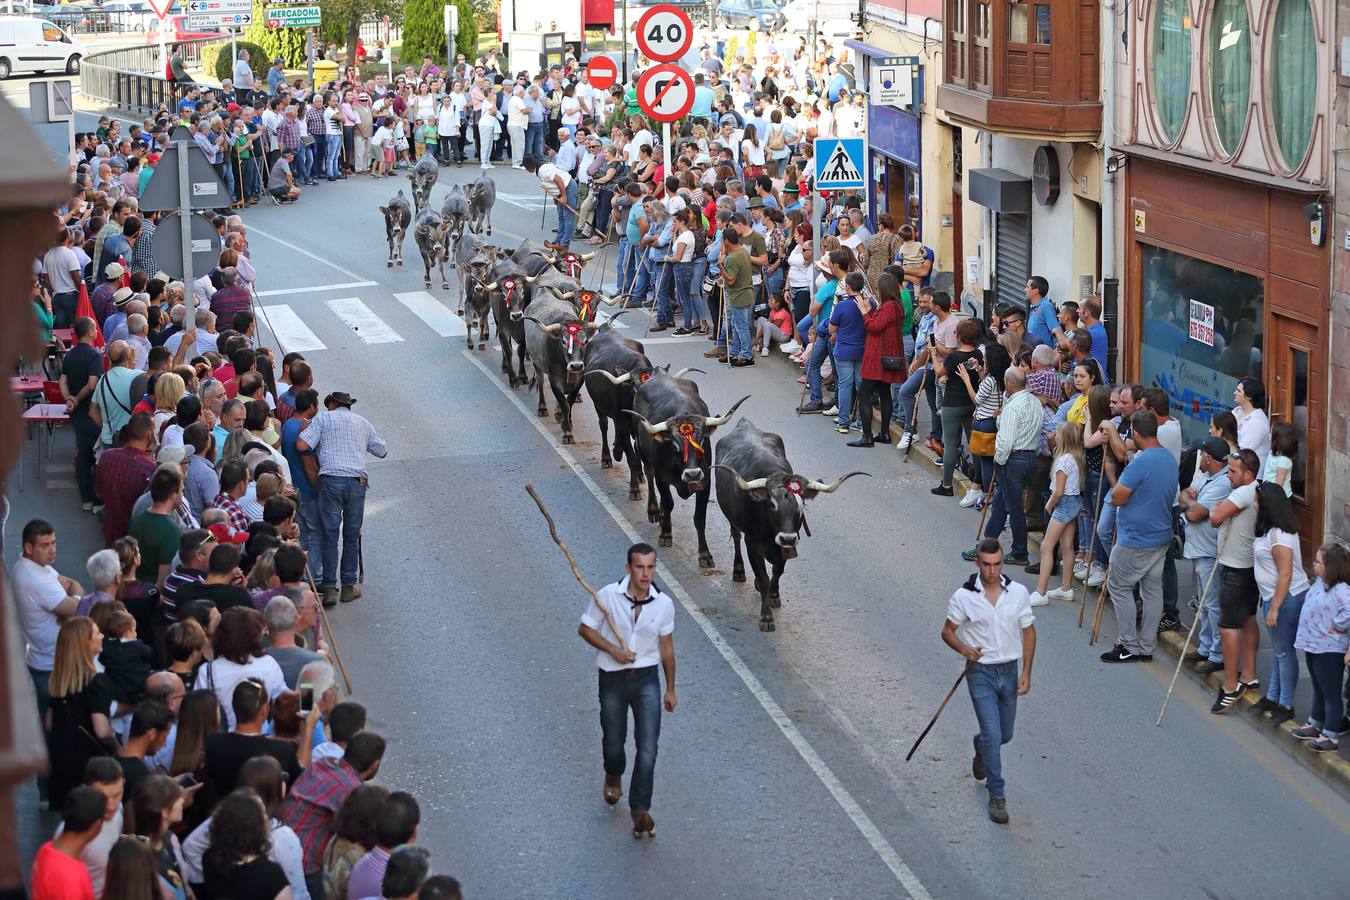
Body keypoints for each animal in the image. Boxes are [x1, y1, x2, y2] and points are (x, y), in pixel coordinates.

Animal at [623, 369, 750, 566]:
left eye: (701, 441)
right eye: (675, 445)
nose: (692, 474)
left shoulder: (705, 481)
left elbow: (699, 518)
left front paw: (705, 554)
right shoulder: (662, 478)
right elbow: (668, 503)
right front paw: (666, 534)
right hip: (643, 452)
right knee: (648, 475)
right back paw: (654, 511)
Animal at [712, 418, 869, 631]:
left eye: (801, 505)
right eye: (771, 504)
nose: (786, 537)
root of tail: (744, 423)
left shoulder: (788, 544)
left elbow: (777, 571)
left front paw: (774, 595)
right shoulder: (752, 544)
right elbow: (764, 577)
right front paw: (766, 617)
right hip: (733, 521)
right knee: (736, 537)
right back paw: (739, 571)